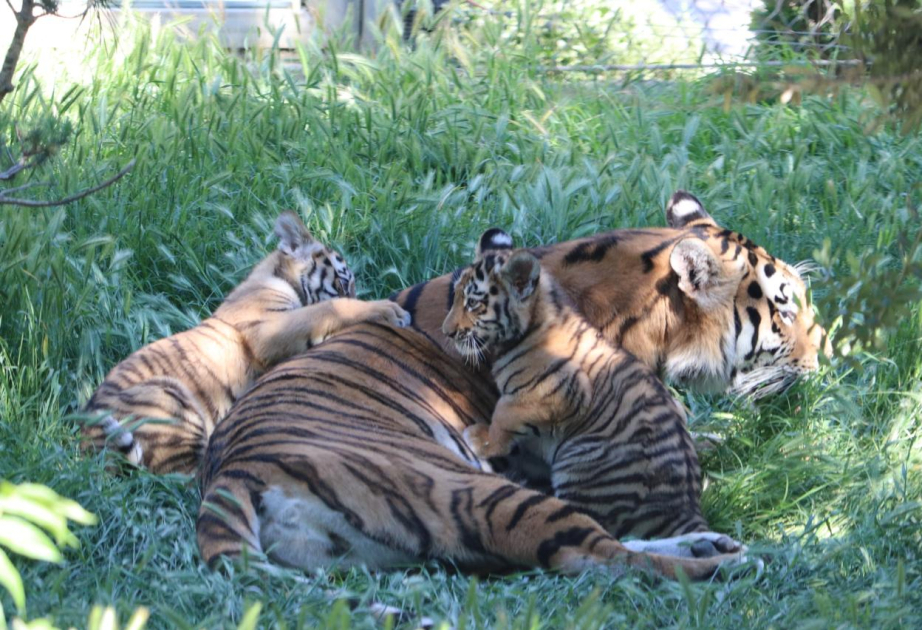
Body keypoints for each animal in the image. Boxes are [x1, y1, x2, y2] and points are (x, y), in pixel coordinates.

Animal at [81, 211, 411, 475]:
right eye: (343, 283)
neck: (276, 276)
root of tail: (84, 439)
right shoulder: (267, 331)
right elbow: (328, 309)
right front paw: (389, 310)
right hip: (167, 398)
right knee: (184, 475)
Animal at [443, 231, 715, 540]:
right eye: (456, 297)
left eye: (473, 303)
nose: (447, 332)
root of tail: (686, 505)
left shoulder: (550, 393)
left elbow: (503, 415)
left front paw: (482, 439)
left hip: (580, 461)